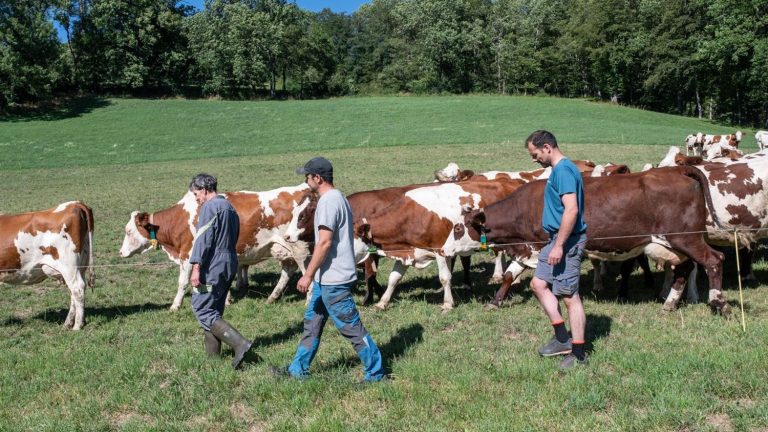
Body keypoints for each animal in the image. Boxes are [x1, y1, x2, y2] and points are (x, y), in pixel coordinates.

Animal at [0, 201, 95, 330]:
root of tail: (76, 203)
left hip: (69, 266)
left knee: (77, 289)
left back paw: (77, 326)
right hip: (81, 264)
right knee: (75, 292)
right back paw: (68, 323)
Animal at [120, 186, 312, 310]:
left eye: (128, 231)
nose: (120, 252)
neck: (181, 219)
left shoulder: (188, 255)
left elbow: (182, 282)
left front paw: (175, 305)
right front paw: (225, 300)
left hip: (299, 249)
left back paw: (308, 302)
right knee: (287, 270)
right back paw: (272, 297)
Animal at [440, 167, 728, 316]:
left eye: (458, 227)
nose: (442, 249)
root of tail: (680, 171)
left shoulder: (543, 247)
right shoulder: (527, 248)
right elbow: (510, 275)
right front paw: (496, 301)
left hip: (686, 238)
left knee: (714, 260)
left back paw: (718, 303)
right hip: (674, 244)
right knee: (685, 268)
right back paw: (669, 303)